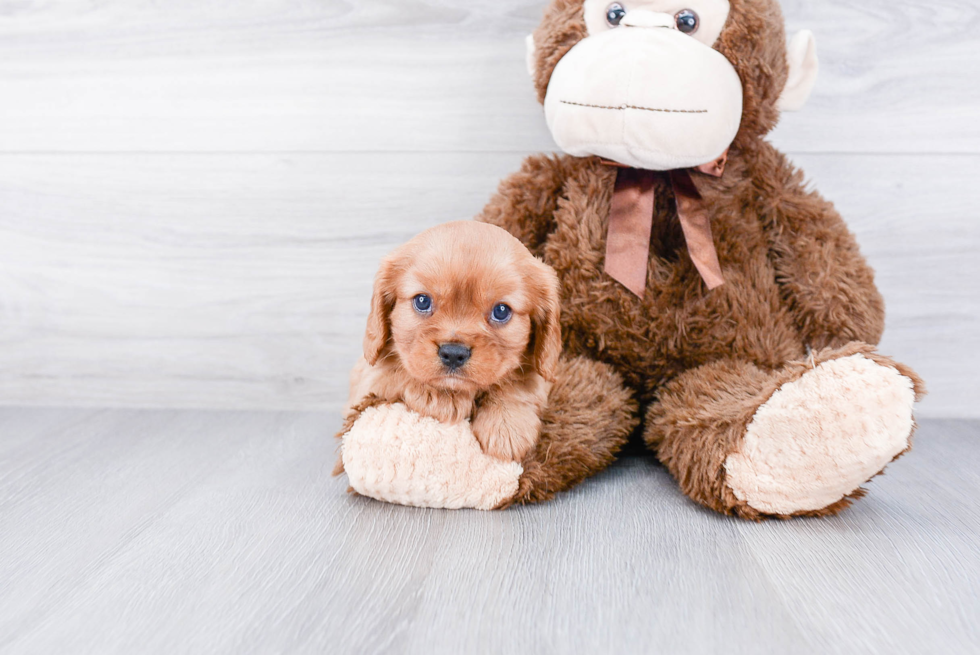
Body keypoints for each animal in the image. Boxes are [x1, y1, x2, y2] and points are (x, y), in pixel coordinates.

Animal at [344, 220, 560, 462]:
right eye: (422, 301)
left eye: (501, 311)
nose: (454, 353)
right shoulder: (364, 380)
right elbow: (394, 371)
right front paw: (440, 395)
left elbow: (523, 382)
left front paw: (507, 423)